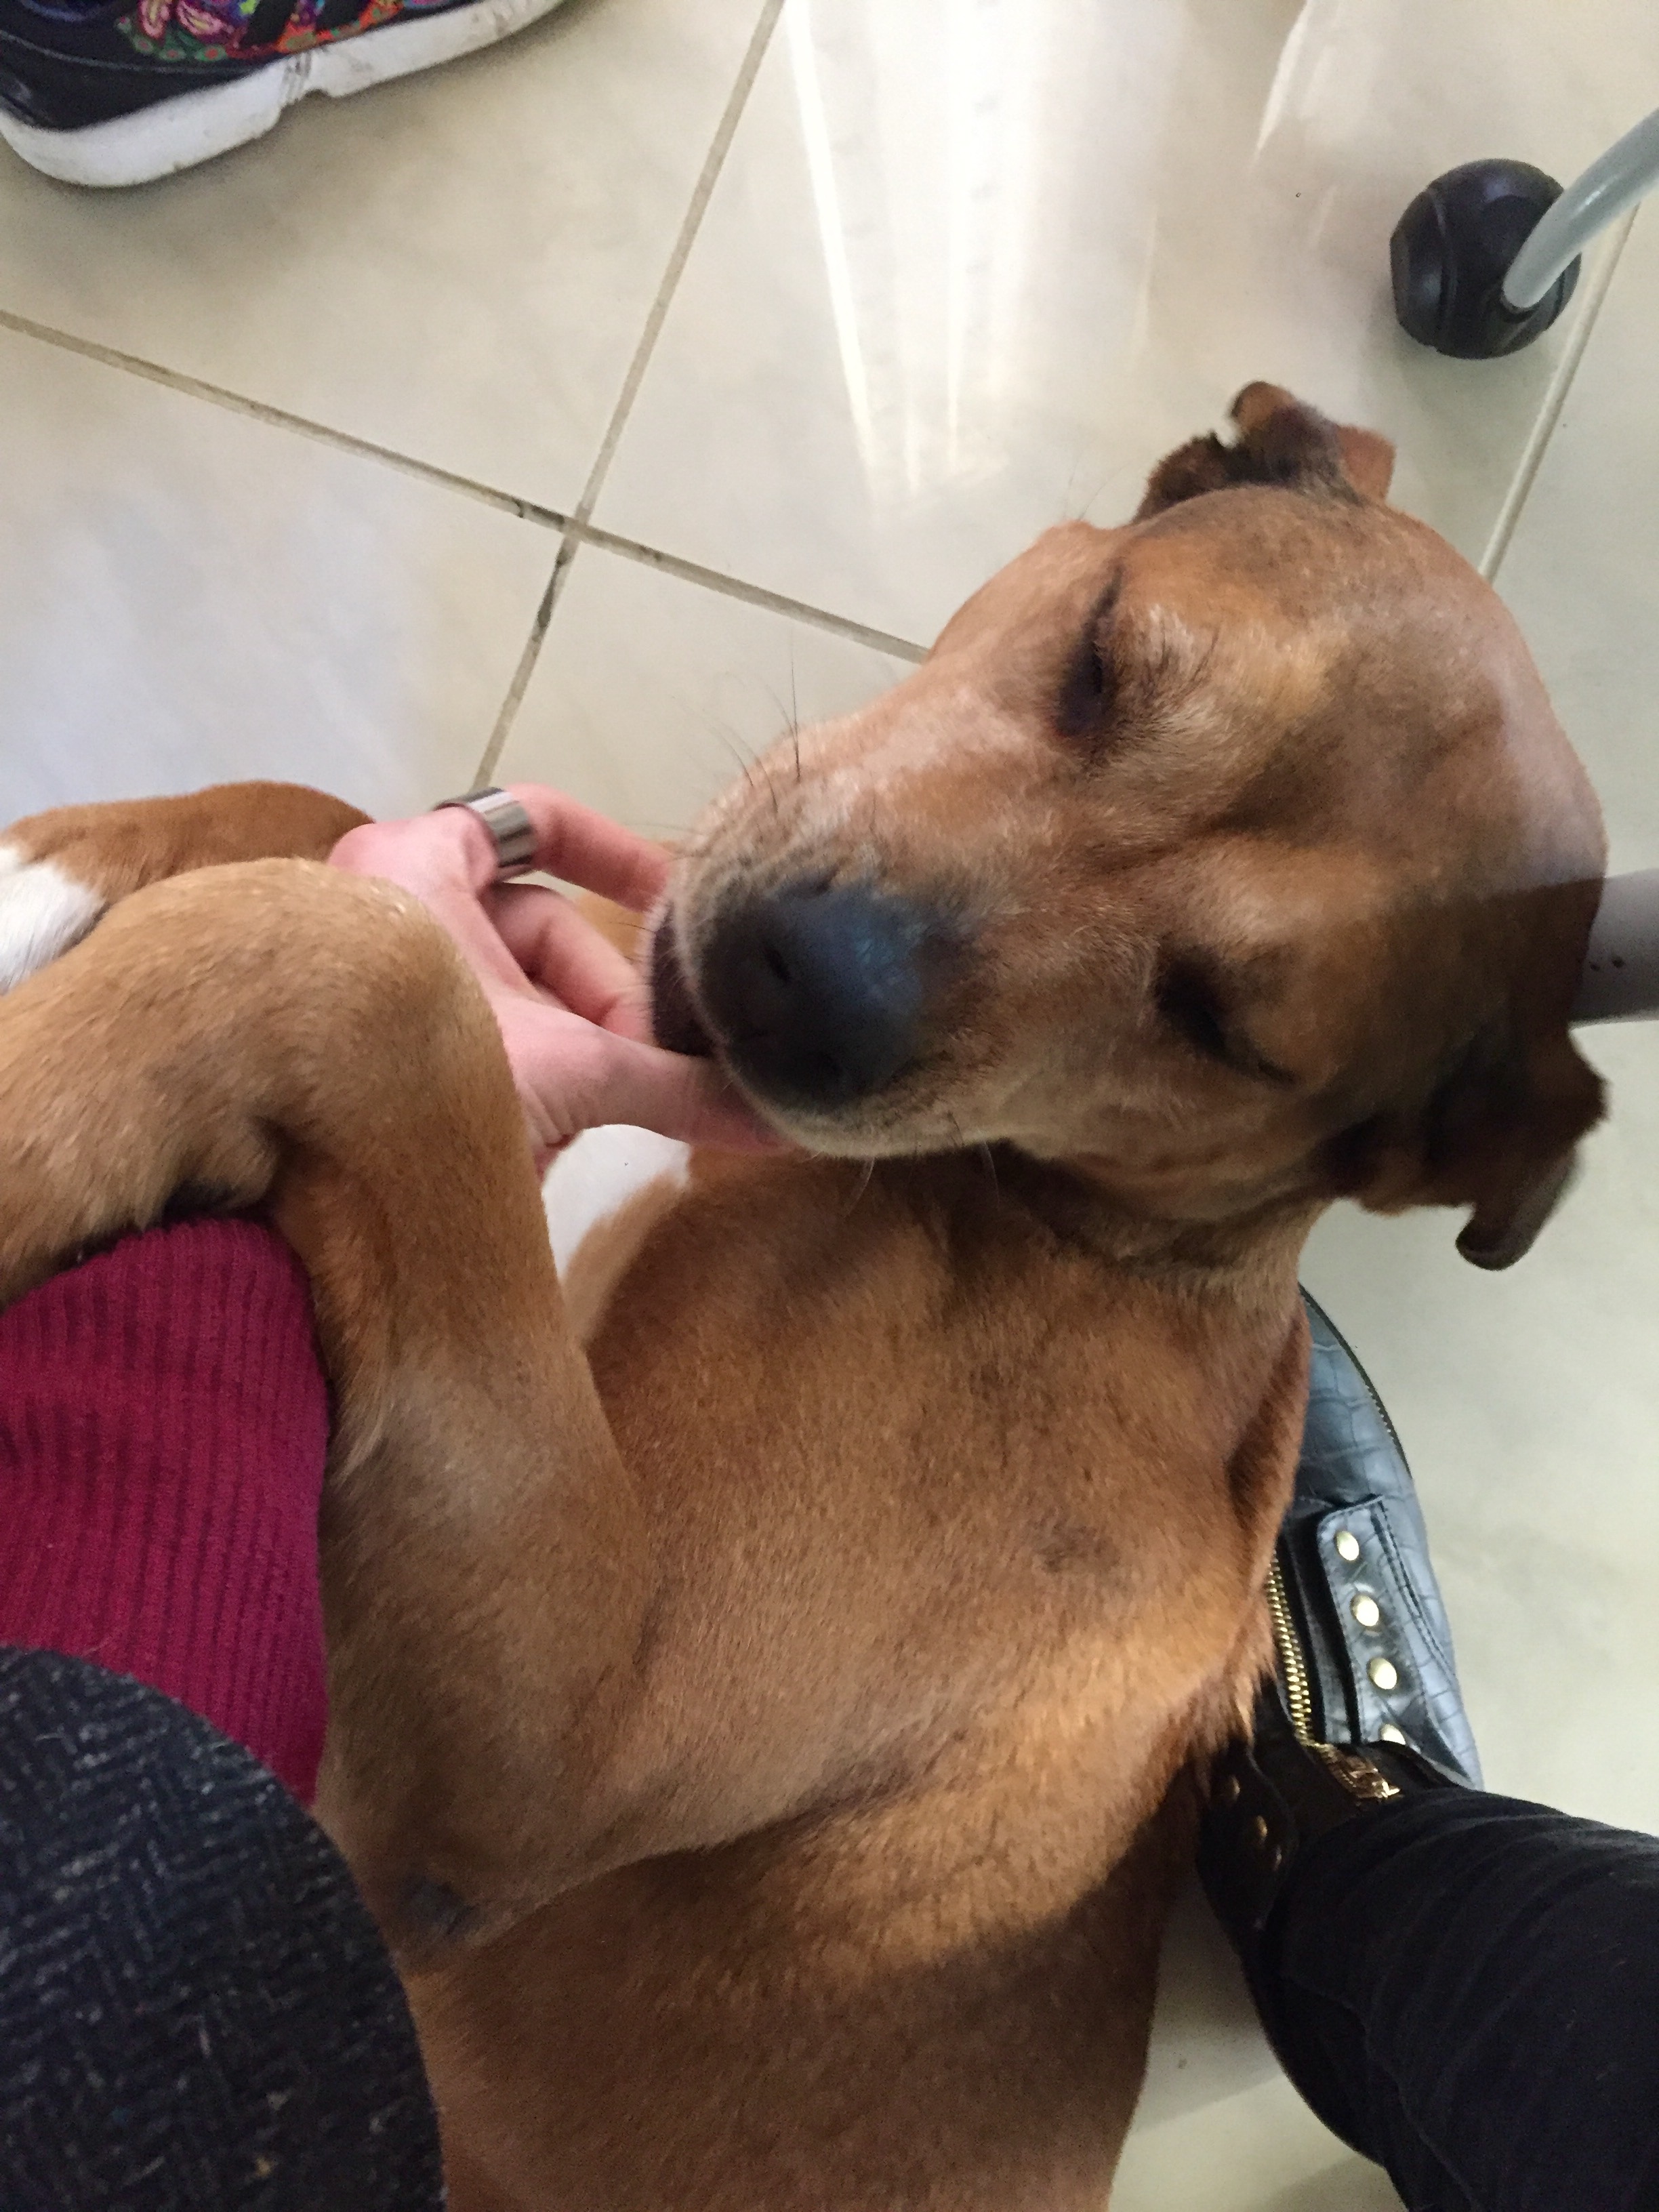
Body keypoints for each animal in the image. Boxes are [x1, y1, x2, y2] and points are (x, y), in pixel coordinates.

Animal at [0, 385, 1606, 2209]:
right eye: (1101, 660)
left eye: (1222, 1025)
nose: (800, 982)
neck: (1046, 1216)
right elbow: (340, 833)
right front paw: (68, 861)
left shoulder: (550, 1755)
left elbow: (378, 972)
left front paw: (42, 1106)